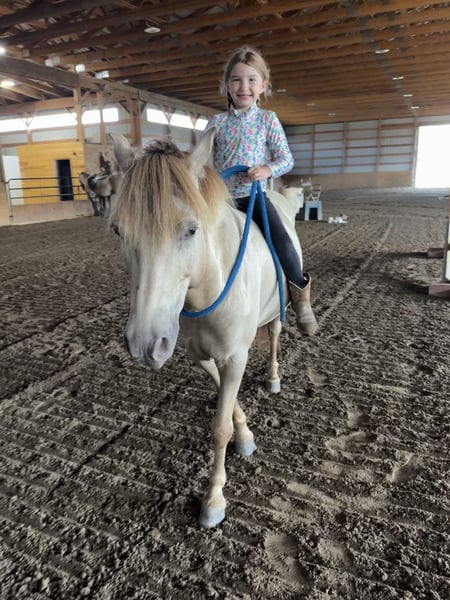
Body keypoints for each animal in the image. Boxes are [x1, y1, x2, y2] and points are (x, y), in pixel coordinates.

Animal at [109, 130, 304, 528]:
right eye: (118, 229)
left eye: (191, 229)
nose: (143, 345)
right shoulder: (200, 355)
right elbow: (227, 408)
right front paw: (245, 434)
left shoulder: (236, 356)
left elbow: (220, 427)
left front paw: (213, 500)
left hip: (280, 307)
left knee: (276, 334)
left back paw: (275, 375)